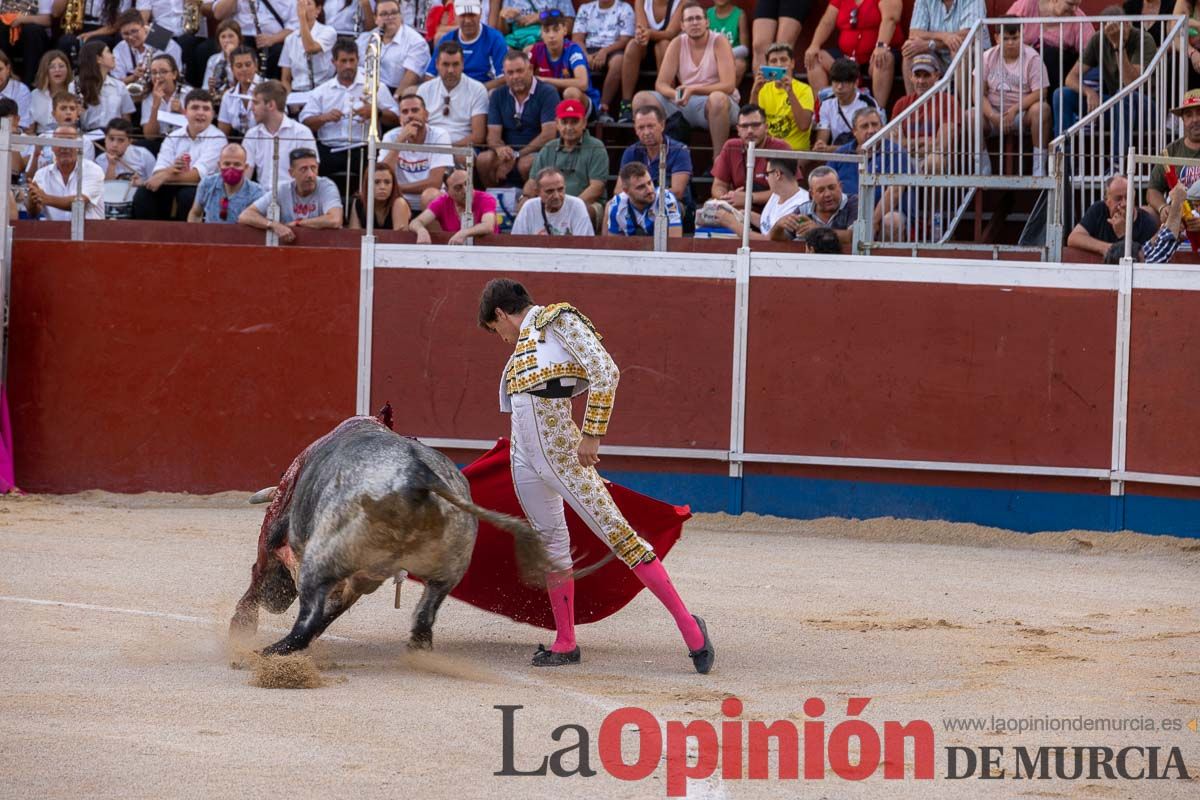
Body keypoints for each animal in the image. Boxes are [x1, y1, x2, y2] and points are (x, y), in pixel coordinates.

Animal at [228, 412, 549, 657]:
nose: (275, 603)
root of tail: (417, 477)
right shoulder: (362, 580)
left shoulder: (273, 535)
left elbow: (258, 577)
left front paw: (240, 628)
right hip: (448, 568)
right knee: (424, 617)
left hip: (323, 559)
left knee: (305, 623)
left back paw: (263, 654)